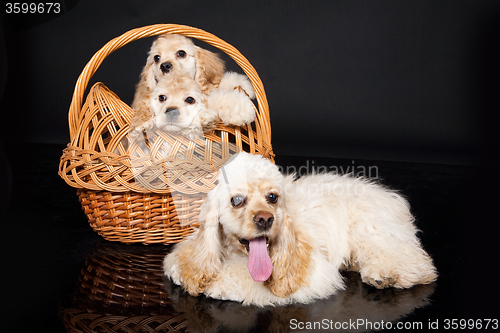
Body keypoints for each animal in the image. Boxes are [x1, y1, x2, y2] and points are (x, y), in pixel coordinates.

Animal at [165, 152, 438, 304]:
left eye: (273, 197)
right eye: (237, 200)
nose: (265, 219)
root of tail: (390, 196)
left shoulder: (313, 272)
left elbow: (241, 277)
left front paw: (219, 283)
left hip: (371, 230)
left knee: (414, 261)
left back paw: (387, 274)